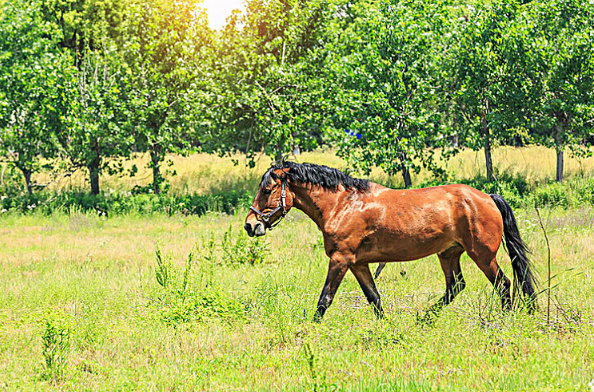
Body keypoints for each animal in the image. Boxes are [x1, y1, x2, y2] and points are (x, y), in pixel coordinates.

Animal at [243, 161, 536, 320]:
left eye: (267, 189)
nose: (250, 224)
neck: (343, 204)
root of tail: (488, 197)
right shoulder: (357, 264)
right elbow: (374, 298)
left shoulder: (340, 260)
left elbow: (325, 298)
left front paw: (308, 329)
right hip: (449, 253)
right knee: (455, 287)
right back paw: (424, 318)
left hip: (483, 255)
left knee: (503, 284)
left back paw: (503, 318)